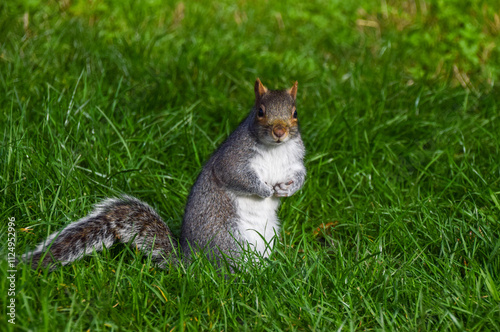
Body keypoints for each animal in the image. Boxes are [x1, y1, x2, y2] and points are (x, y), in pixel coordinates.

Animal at [21, 79, 306, 272]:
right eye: (260, 112)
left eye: (295, 113)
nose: (280, 132)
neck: (274, 149)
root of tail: (190, 262)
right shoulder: (233, 159)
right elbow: (237, 176)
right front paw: (265, 190)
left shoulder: (294, 160)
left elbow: (301, 176)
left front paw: (287, 190)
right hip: (229, 241)